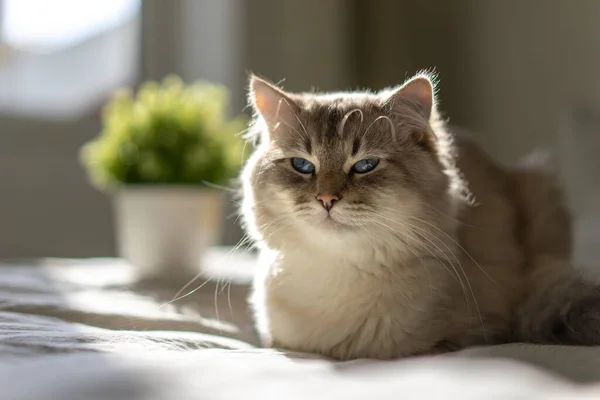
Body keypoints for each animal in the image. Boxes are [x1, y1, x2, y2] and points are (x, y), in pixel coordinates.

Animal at [239, 71, 600, 360]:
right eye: (302, 166)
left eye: (365, 165)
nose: (327, 199)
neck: (338, 276)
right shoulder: (279, 340)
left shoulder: (463, 336)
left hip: (541, 188)